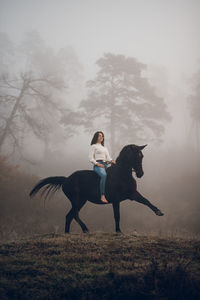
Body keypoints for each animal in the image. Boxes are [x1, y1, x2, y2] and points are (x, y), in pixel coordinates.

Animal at [30, 144, 164, 233]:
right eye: (135, 156)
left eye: (142, 156)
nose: (141, 174)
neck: (121, 175)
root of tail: (66, 179)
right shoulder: (116, 200)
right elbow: (117, 215)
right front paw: (118, 231)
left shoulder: (132, 194)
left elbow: (146, 201)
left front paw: (159, 212)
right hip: (77, 200)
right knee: (74, 214)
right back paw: (85, 229)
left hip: (81, 200)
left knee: (69, 216)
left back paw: (67, 233)